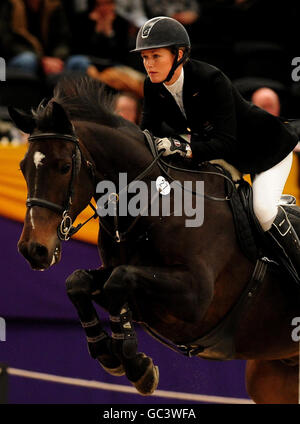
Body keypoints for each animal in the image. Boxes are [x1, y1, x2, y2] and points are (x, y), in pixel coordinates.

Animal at [8, 76, 298, 404]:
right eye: (22, 167)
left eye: (64, 167)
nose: (33, 250)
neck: (152, 207)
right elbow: (79, 282)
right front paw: (111, 352)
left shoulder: (196, 297)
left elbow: (119, 279)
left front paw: (135, 363)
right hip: (272, 376)